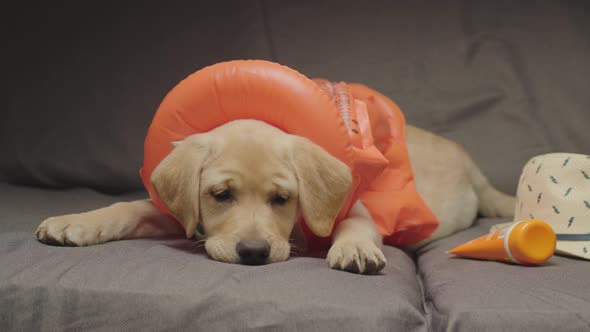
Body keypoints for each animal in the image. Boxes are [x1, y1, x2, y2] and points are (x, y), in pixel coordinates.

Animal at [37, 120, 516, 274]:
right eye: (221, 194)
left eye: (282, 199)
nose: (253, 252)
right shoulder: (178, 215)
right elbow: (128, 207)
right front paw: (76, 222)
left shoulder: (355, 208)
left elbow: (355, 224)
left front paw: (354, 249)